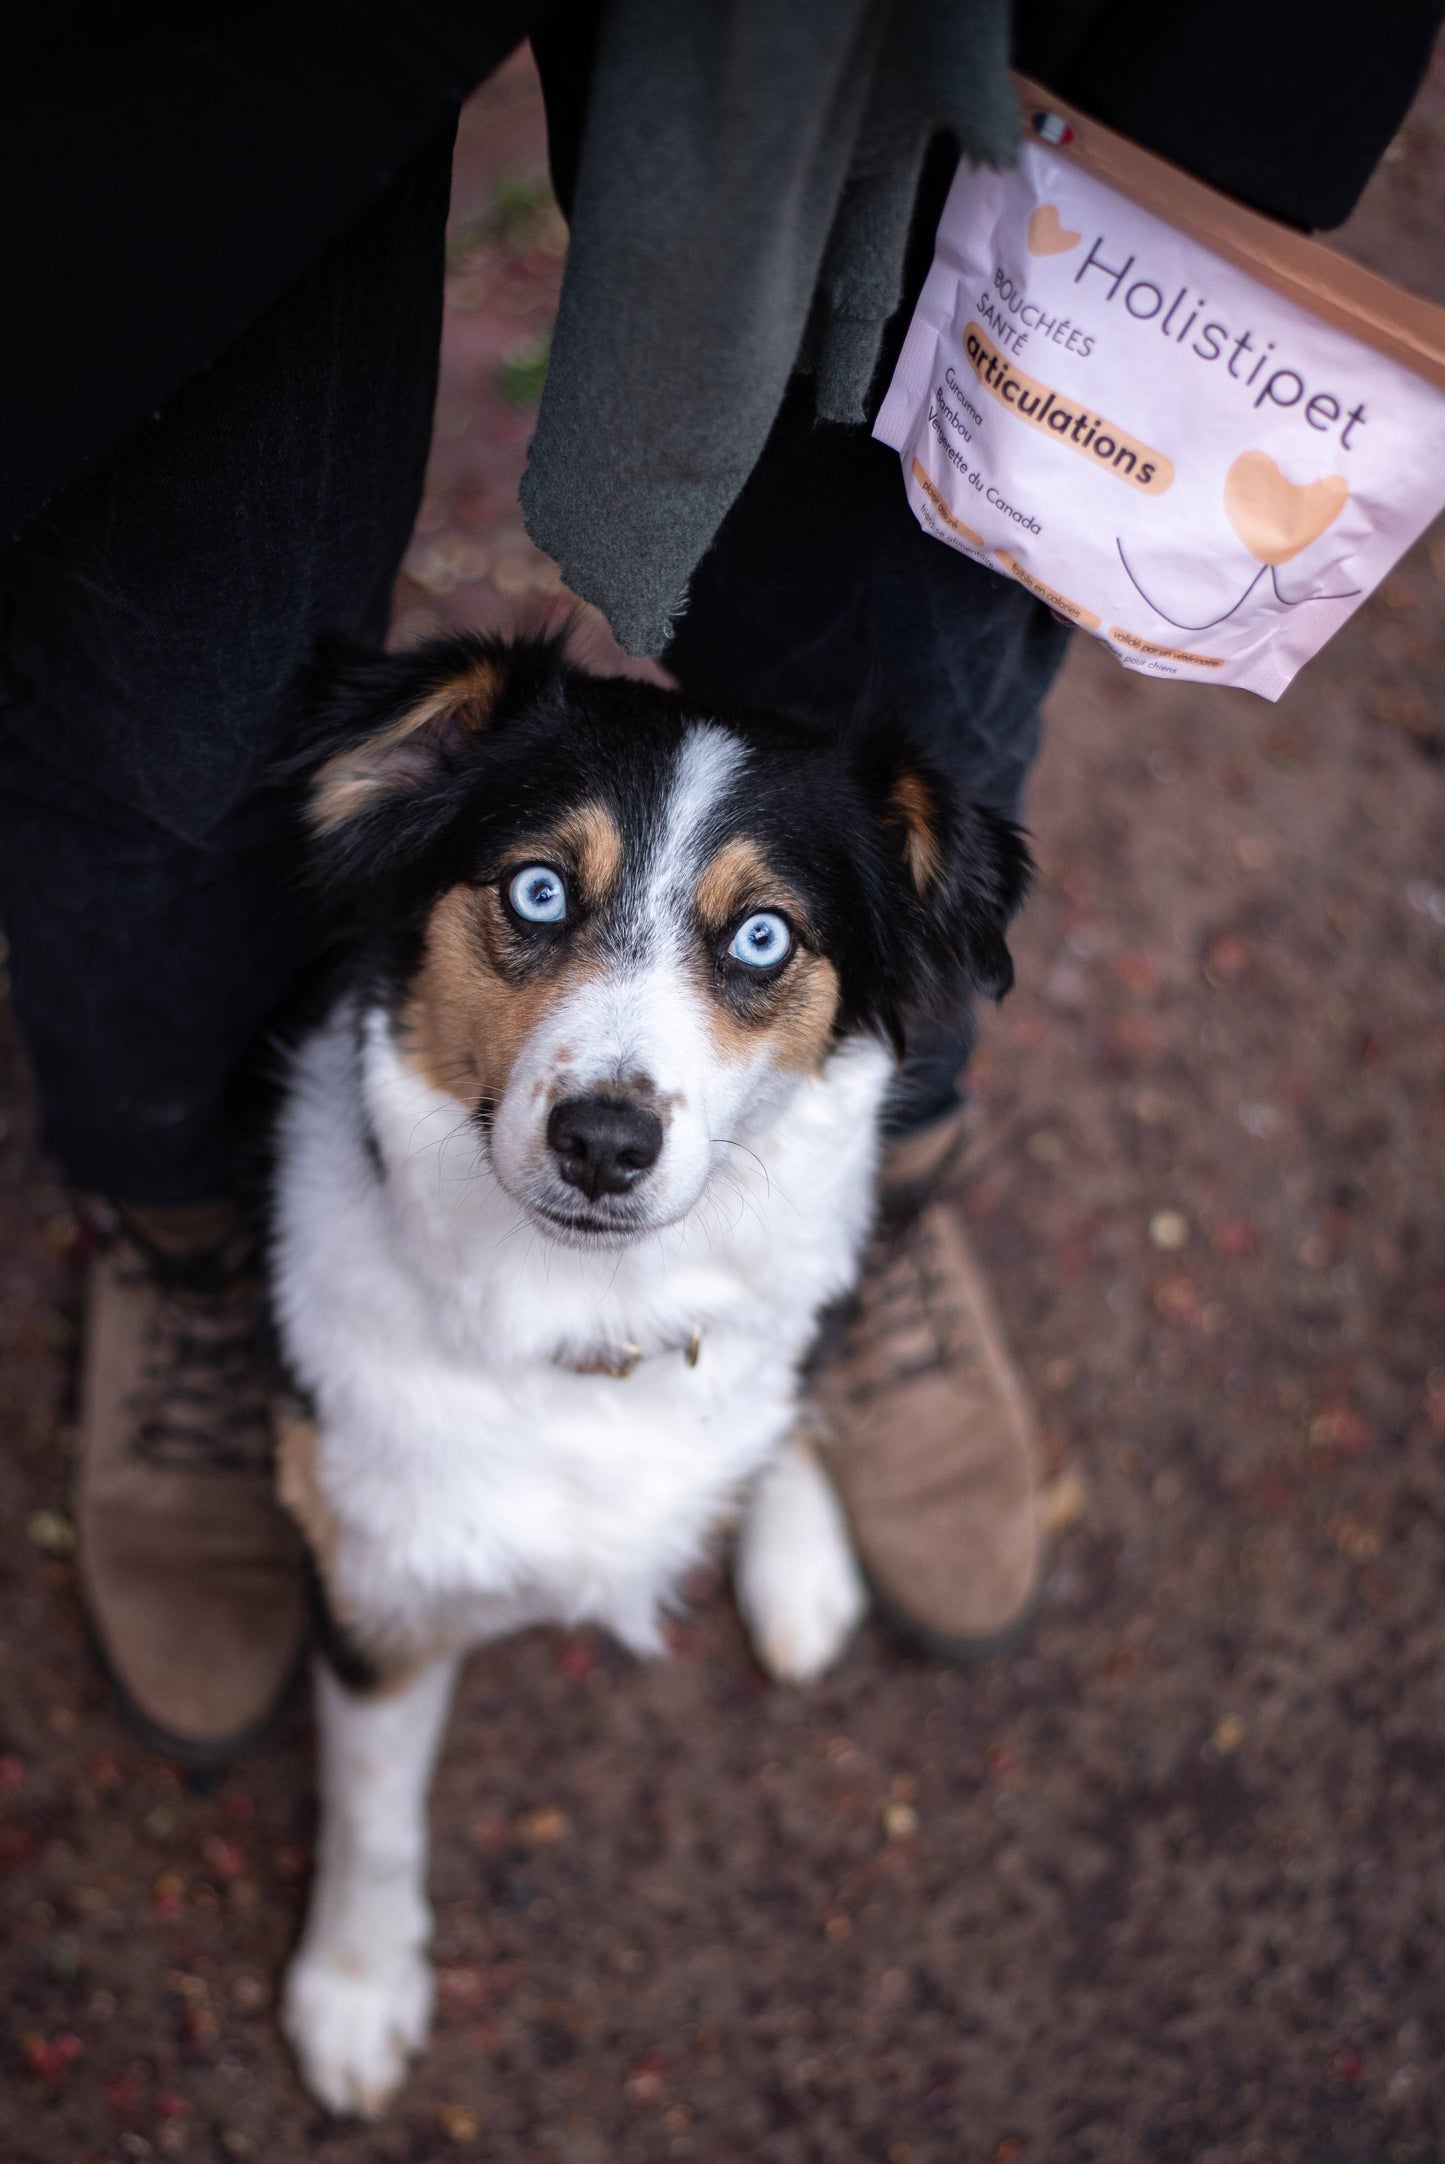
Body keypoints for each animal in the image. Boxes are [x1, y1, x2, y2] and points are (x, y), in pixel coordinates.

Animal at [273, 631, 1025, 2112]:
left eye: (761, 936)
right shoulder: (377, 1571)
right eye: (538, 889)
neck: (591, 1327)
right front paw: (356, 1990)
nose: (605, 1141)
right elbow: (375, 1813)